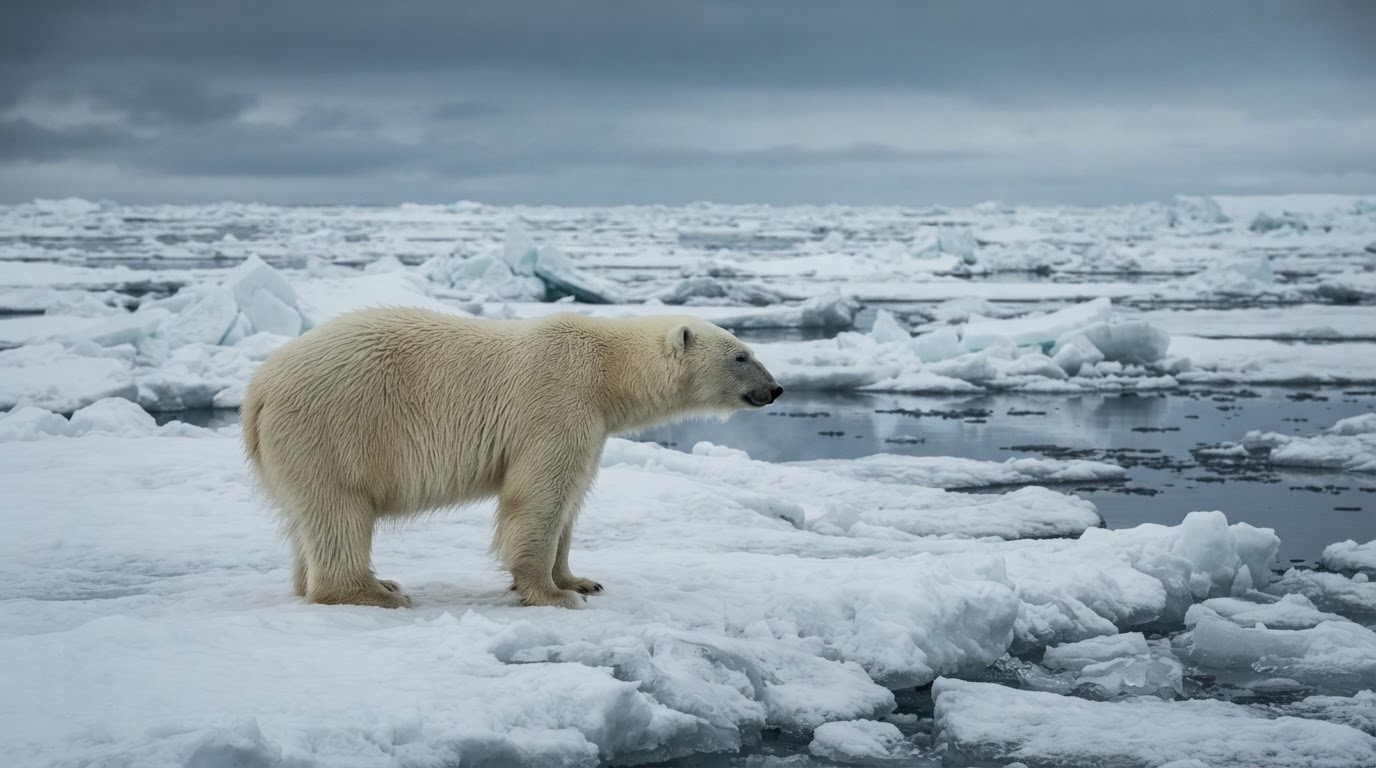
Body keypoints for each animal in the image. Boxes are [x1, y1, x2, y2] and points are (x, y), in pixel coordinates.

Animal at [241, 307, 782, 609]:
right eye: (742, 355)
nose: (776, 389)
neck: (604, 370)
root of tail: (259, 389)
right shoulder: (557, 403)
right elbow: (540, 496)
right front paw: (552, 594)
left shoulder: (592, 423)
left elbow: (571, 500)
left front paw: (580, 580)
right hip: (335, 429)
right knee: (339, 510)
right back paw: (375, 591)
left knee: (307, 518)